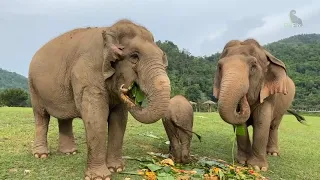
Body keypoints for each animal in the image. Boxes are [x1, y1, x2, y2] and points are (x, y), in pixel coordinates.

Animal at [28, 19, 171, 179]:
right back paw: (41, 155)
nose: (127, 90)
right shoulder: (87, 75)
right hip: (33, 88)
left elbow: (119, 119)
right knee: (41, 116)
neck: (109, 31)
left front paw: (117, 169)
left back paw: (69, 153)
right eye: (134, 57)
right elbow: (96, 118)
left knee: (64, 118)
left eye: (163, 58)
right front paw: (100, 176)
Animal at [212, 39, 304, 172]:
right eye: (219, 67)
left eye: (253, 66)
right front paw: (243, 162)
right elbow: (240, 125)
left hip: (283, 107)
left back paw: (272, 153)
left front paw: (257, 167)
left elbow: (262, 121)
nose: (243, 98)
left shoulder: (269, 95)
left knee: (274, 126)